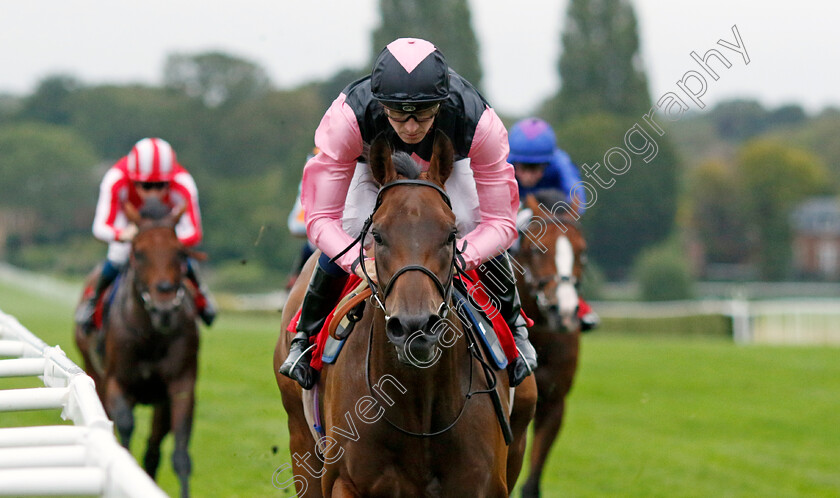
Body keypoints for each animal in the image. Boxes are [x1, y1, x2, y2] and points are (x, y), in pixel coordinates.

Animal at [74, 198, 199, 498]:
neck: (150, 335)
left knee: (154, 447)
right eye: (139, 254)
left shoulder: (180, 385)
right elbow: (125, 430)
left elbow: (179, 452)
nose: (164, 308)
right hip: (94, 372)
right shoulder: (117, 383)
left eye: (180, 253)